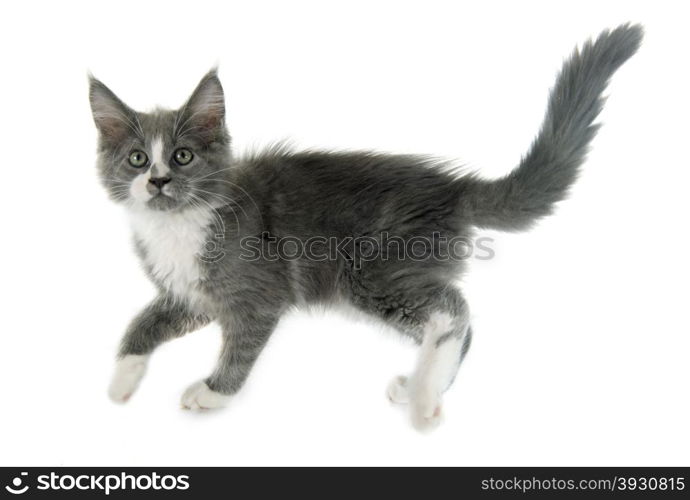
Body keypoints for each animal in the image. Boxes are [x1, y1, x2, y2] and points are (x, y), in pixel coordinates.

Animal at [90, 24, 640, 430]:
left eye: (182, 156)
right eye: (137, 159)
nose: (158, 181)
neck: (178, 225)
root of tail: (453, 189)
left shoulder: (257, 294)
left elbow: (241, 347)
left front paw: (212, 393)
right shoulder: (191, 295)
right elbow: (141, 324)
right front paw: (121, 381)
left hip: (374, 271)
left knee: (453, 311)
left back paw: (423, 397)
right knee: (460, 325)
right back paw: (424, 388)